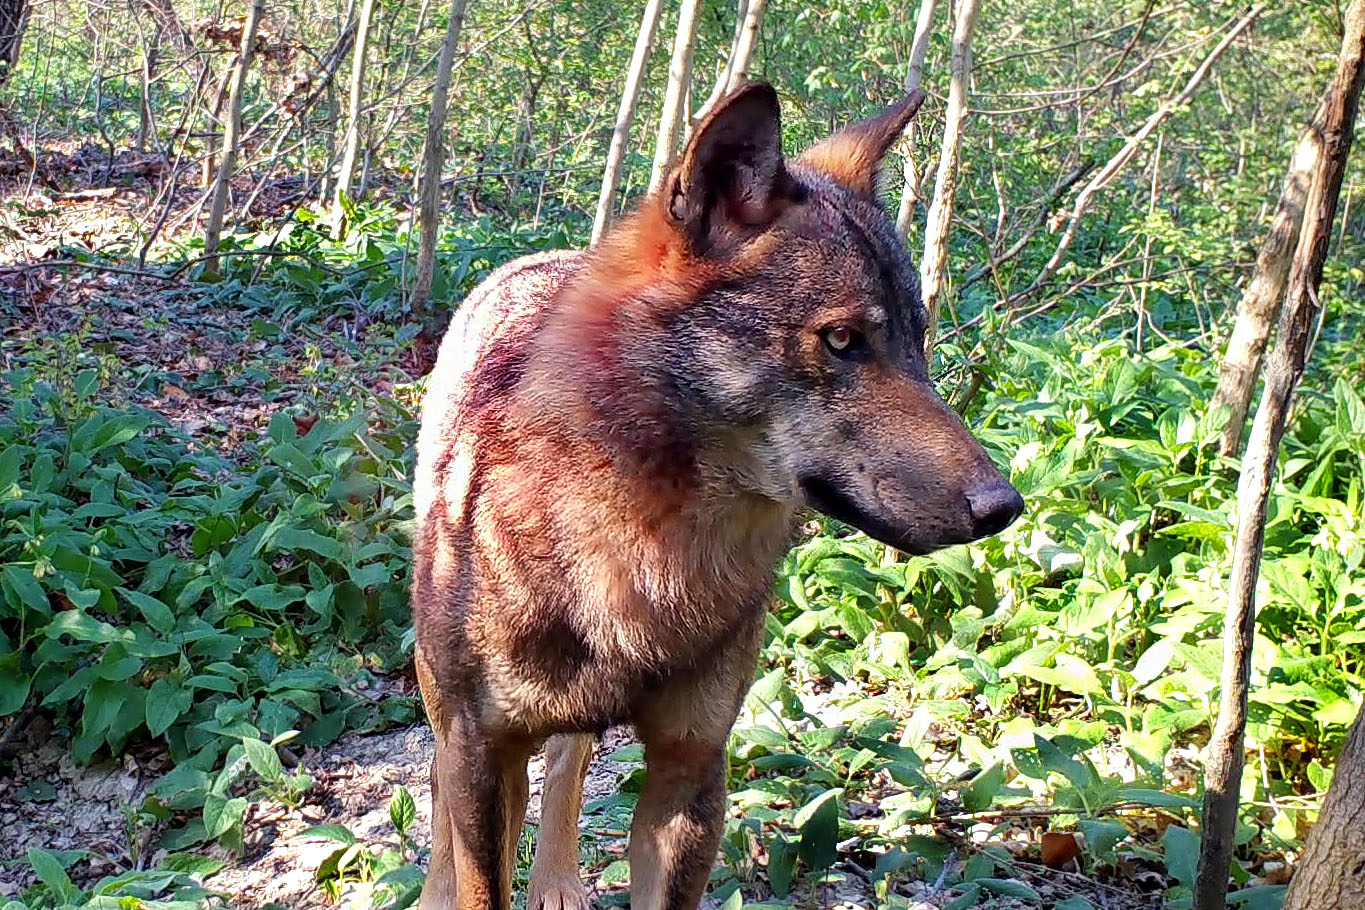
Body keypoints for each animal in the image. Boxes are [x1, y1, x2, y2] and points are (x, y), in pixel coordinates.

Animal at [411, 81, 1023, 910]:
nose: (1003, 506)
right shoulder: (484, 745)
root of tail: (541, 258)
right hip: (442, 695)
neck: (648, 549)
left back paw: (561, 880)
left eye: (916, 339)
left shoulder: (691, 770)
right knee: (442, 783)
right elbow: (472, 845)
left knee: (568, 760)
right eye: (841, 340)